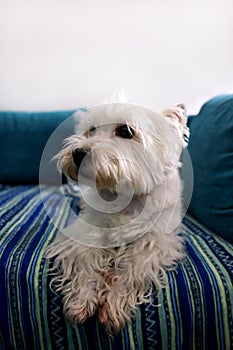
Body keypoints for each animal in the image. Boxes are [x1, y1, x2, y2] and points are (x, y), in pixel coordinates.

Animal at [47, 101, 189, 334]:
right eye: (91, 130)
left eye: (126, 131)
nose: (78, 154)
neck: (123, 198)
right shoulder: (85, 232)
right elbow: (85, 261)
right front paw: (81, 300)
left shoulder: (157, 243)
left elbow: (134, 270)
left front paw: (113, 305)